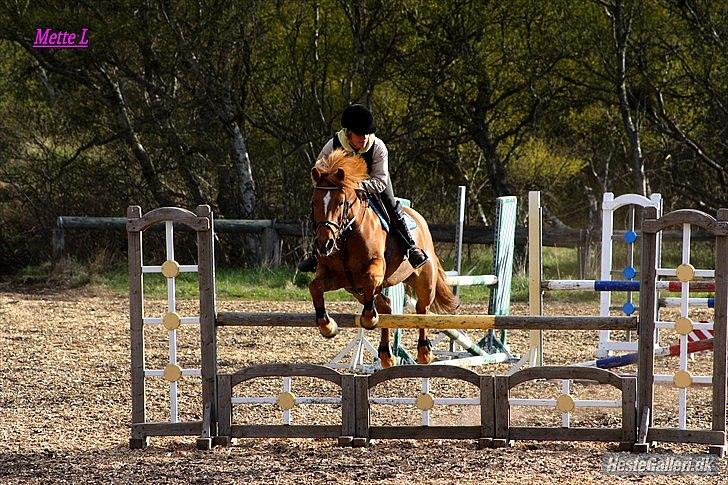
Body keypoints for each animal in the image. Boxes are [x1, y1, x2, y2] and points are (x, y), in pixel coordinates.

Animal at [308, 148, 460, 366]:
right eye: (314, 203)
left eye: (340, 202)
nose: (324, 244)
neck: (346, 236)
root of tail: (418, 217)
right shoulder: (337, 277)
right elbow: (315, 287)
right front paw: (327, 326)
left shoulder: (376, 267)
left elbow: (370, 279)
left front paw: (368, 319)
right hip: (355, 290)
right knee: (386, 307)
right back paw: (386, 354)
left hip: (424, 280)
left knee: (422, 309)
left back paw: (424, 352)